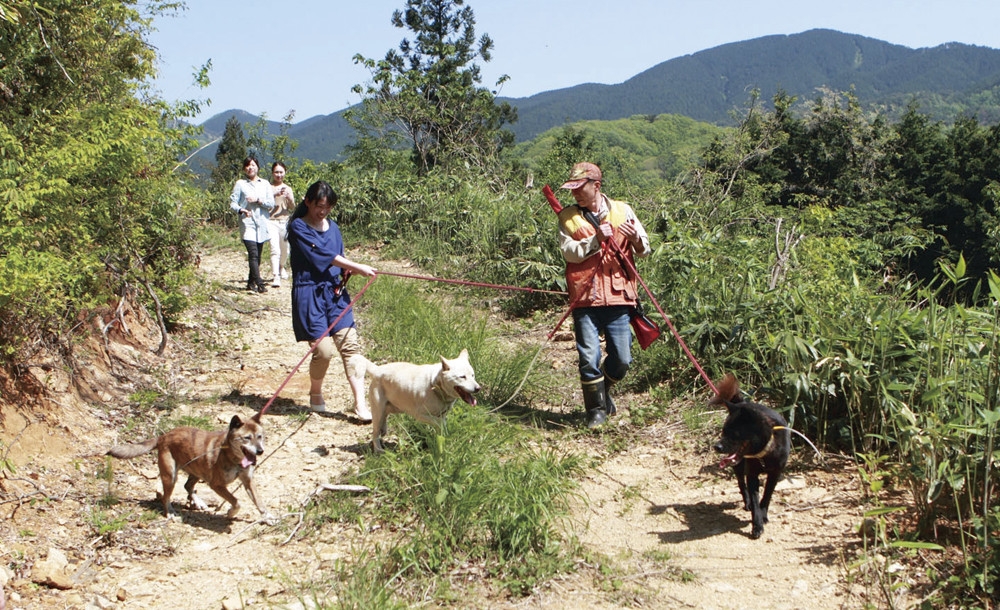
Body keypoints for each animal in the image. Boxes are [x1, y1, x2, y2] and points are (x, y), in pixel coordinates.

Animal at [106, 410, 274, 520]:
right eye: (247, 438)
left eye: (260, 436)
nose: (260, 451)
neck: (232, 457)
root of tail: (163, 436)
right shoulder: (217, 485)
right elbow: (237, 502)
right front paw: (231, 513)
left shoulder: (248, 481)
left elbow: (259, 501)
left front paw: (267, 516)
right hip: (171, 476)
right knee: (166, 497)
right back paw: (170, 512)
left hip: (197, 471)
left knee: (187, 486)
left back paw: (198, 502)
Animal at [348, 350, 480, 448]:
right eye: (462, 377)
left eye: (473, 375)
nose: (478, 388)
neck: (435, 386)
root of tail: (377, 370)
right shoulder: (419, 415)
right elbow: (439, 423)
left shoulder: (441, 414)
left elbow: (441, 429)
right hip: (378, 410)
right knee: (375, 433)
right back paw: (378, 450)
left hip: (396, 406)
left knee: (385, 414)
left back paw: (383, 429)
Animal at [712, 370, 788, 536]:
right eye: (723, 431)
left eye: (734, 433)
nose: (716, 446)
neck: (764, 452)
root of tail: (741, 403)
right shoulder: (752, 474)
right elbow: (754, 499)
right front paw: (757, 524)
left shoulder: (775, 474)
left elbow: (766, 496)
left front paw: (763, 515)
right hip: (739, 467)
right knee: (741, 484)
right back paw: (747, 503)